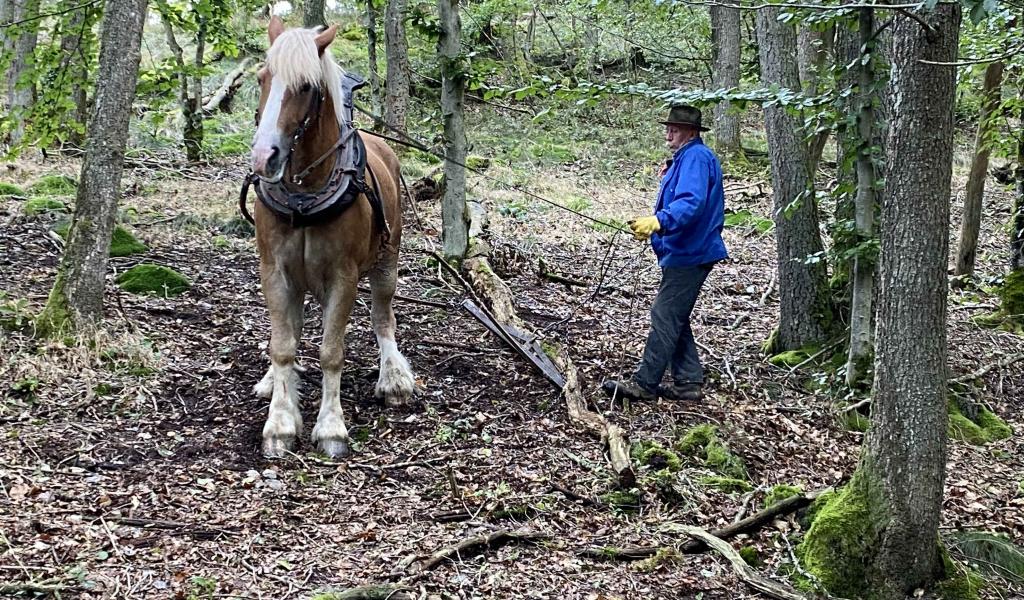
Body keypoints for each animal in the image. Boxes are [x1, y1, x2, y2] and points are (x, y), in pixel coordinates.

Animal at [249, 17, 413, 458]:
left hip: (387, 260)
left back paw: (393, 377)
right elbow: (284, 344)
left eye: (306, 86)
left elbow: (331, 351)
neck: (305, 195)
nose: (263, 158)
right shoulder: (274, 271)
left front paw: (331, 427)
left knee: (383, 316)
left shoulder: (344, 276)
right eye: (262, 78)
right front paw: (281, 421)